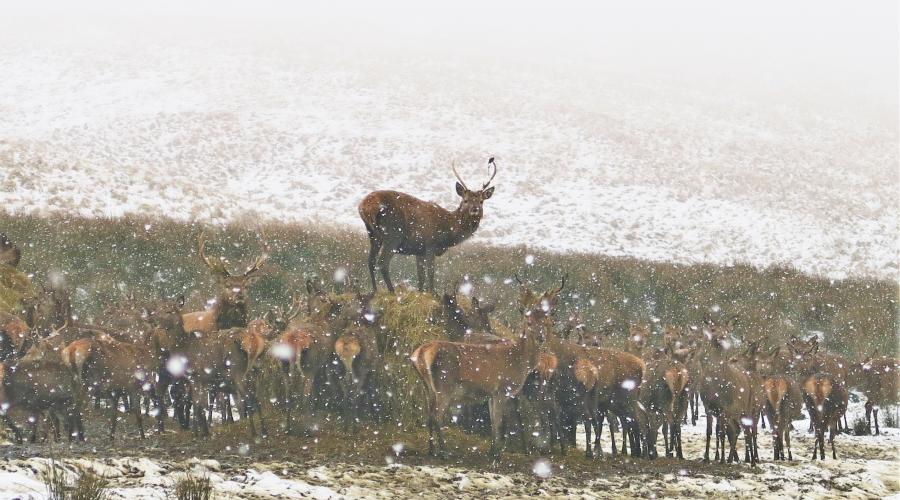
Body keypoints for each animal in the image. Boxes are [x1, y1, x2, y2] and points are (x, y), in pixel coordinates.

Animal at [358, 156, 500, 292]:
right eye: (465, 200)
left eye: (481, 201)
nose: (475, 209)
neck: (448, 231)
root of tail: (365, 206)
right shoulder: (430, 244)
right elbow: (431, 273)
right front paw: (432, 293)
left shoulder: (419, 250)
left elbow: (420, 277)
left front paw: (421, 293)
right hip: (393, 235)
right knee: (382, 262)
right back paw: (392, 291)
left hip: (373, 233)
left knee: (370, 261)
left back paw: (375, 291)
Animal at [408, 276, 556, 458]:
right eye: (528, 322)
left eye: (547, 322)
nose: (541, 337)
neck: (520, 361)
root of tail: (420, 353)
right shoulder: (501, 390)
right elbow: (498, 422)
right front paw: (497, 454)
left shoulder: (492, 394)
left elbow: (493, 421)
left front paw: (492, 451)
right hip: (444, 384)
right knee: (437, 416)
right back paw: (444, 451)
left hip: (427, 385)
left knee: (428, 414)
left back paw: (431, 450)